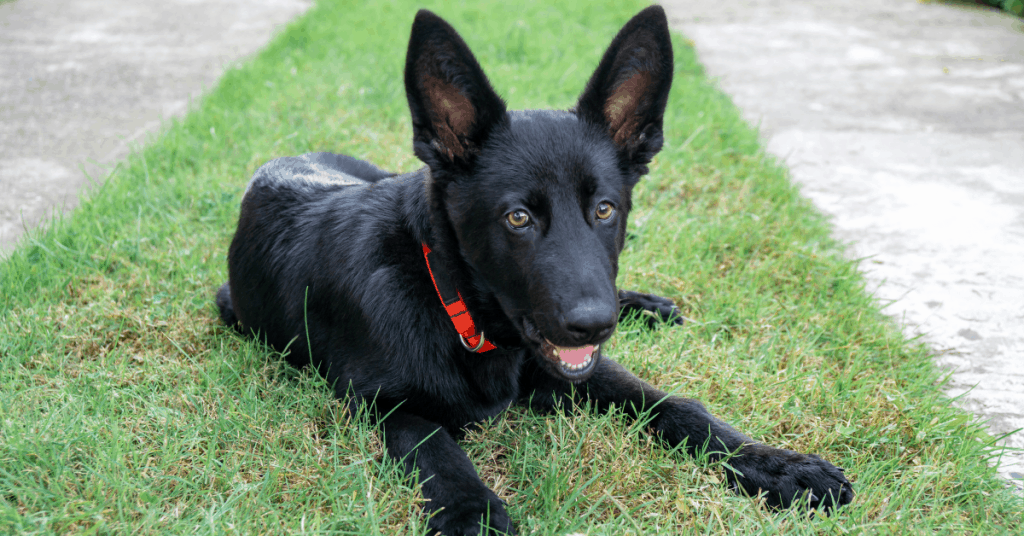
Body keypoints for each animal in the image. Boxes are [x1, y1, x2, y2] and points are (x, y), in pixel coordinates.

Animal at [218, 6, 856, 532]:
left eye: (605, 209)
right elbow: (436, 446)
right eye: (518, 218)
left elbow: (675, 404)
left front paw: (776, 464)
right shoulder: (382, 402)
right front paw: (472, 512)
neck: (459, 311)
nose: (593, 324)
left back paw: (646, 304)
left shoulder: (578, 365)